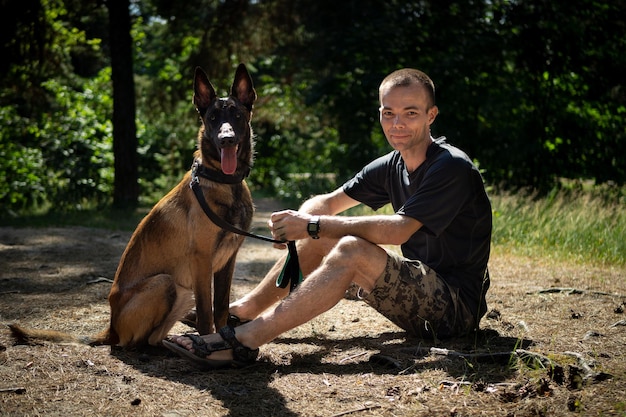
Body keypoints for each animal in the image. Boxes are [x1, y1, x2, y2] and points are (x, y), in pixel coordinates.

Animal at [9, 61, 256, 348]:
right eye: (213, 118)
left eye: (236, 115)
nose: (227, 138)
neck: (225, 182)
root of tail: (112, 326)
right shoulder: (202, 262)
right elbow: (207, 314)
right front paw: (208, 342)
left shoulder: (228, 261)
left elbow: (222, 309)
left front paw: (224, 337)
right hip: (166, 283)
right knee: (137, 341)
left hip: (183, 292)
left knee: (154, 337)